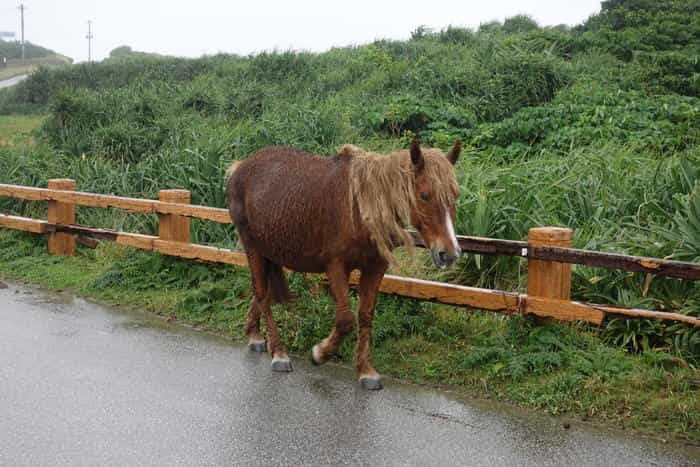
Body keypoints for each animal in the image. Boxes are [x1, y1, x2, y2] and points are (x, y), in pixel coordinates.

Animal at [227, 141, 462, 390]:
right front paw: (320, 353)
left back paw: (254, 335)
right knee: (263, 295)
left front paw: (366, 371)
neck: (360, 209)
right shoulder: (337, 267)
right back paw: (279, 353)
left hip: (273, 252)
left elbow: (366, 316)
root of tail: (240, 166)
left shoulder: (375, 268)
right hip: (253, 248)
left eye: (455, 195)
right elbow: (346, 320)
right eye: (424, 195)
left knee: (263, 293)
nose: (449, 253)